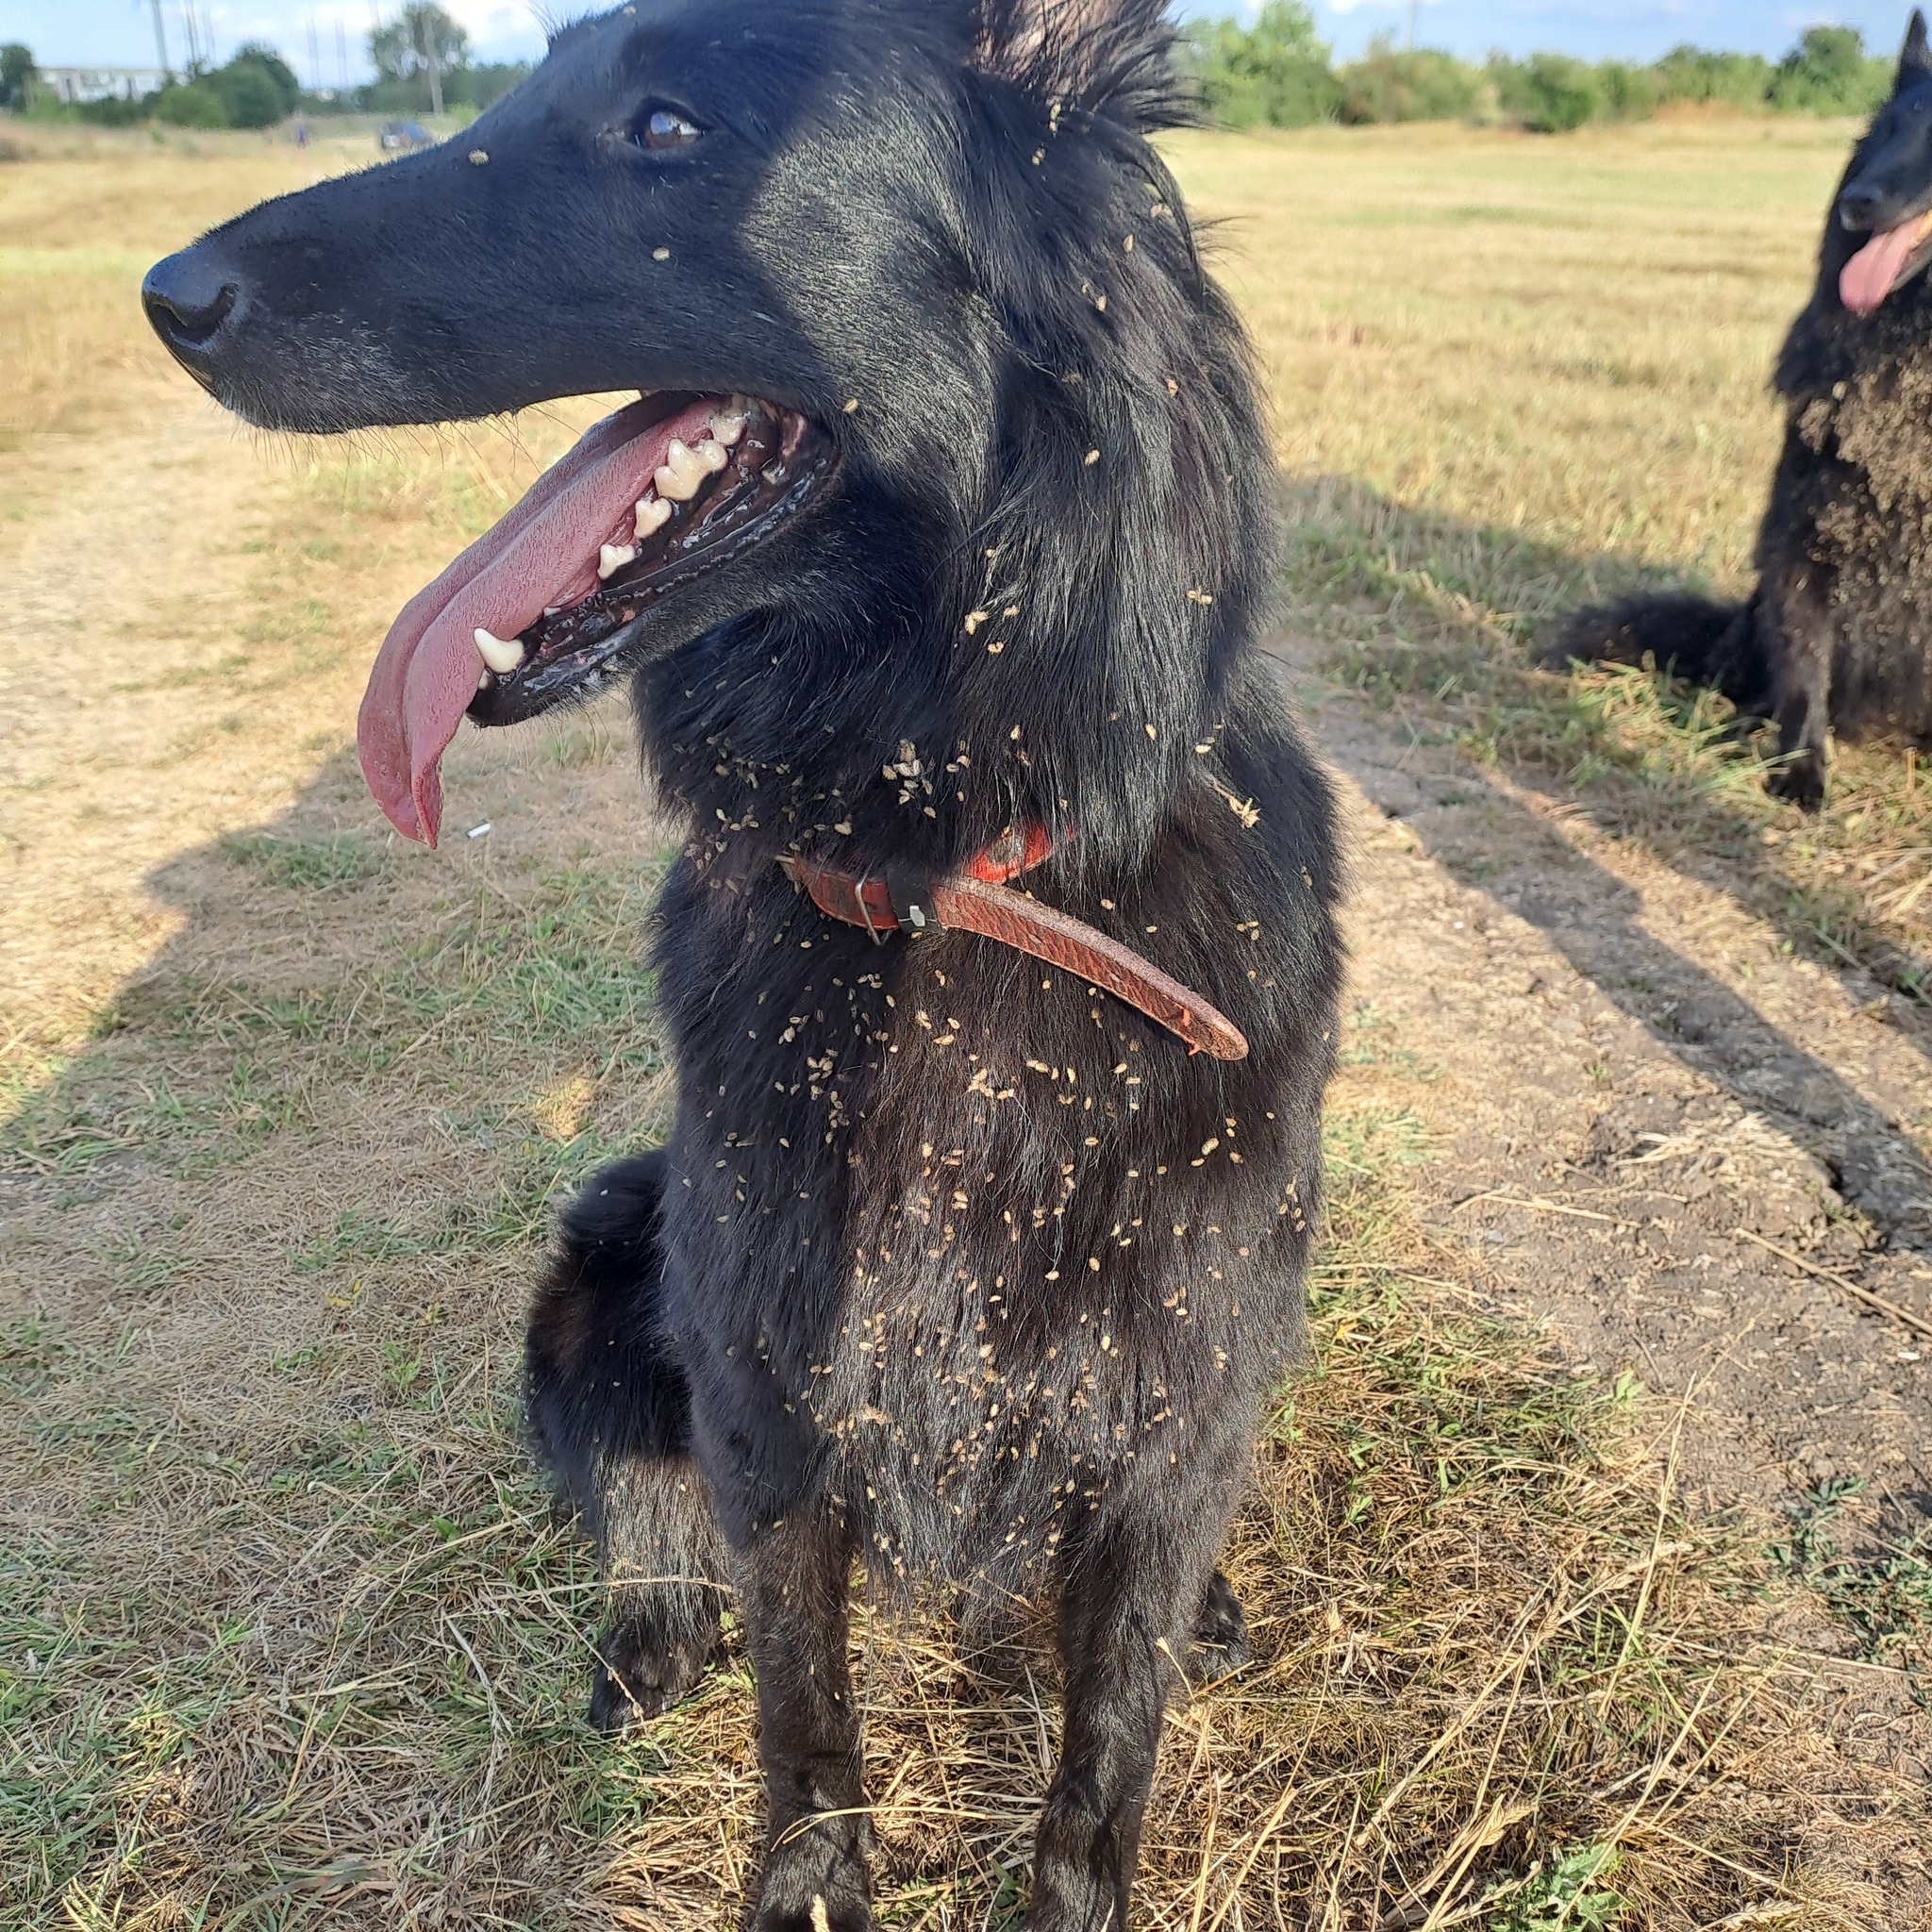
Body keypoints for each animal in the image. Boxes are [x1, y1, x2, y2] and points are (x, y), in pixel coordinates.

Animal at [140, 8, 1344, 1924]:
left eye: (664, 125)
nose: (166, 294)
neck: (949, 875)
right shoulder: (771, 1381)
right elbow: (802, 1691)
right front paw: (810, 1874)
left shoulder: (1183, 1366)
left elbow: (1109, 1728)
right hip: (610, 1241)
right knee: (647, 1510)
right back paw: (647, 1630)